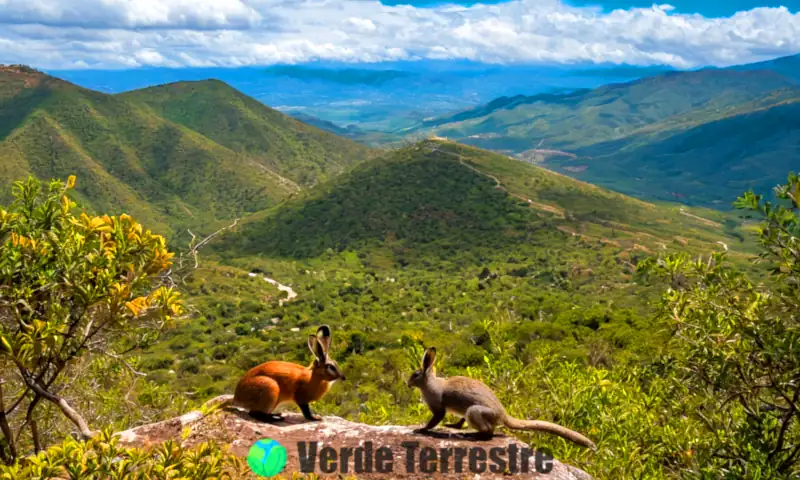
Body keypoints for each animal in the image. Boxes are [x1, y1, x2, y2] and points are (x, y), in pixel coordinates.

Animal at [412, 346, 592, 448]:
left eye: (415, 375)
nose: (407, 383)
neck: (431, 383)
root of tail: (503, 414)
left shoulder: (438, 407)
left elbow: (435, 419)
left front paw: (422, 429)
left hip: (475, 411)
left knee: (488, 431)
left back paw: (473, 435)